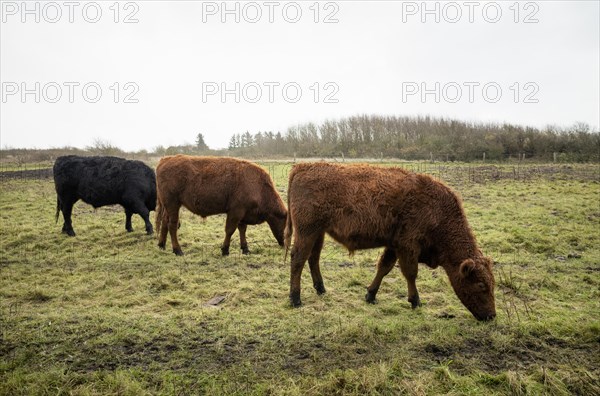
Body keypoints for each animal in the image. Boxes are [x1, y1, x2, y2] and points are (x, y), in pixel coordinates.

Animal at [155, 155, 286, 256]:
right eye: (286, 224)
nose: (285, 244)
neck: (259, 186)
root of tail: (165, 159)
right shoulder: (235, 212)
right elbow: (230, 230)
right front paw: (225, 250)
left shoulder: (242, 214)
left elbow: (242, 230)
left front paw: (245, 249)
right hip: (173, 204)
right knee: (172, 225)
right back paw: (178, 250)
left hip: (168, 207)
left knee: (164, 222)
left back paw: (161, 245)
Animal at [286, 162, 496, 320]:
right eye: (481, 285)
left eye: (492, 284)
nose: (491, 316)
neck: (437, 212)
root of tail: (302, 167)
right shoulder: (408, 246)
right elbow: (410, 273)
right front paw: (416, 301)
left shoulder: (394, 246)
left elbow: (384, 267)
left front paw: (370, 295)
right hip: (306, 232)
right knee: (298, 259)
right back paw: (295, 299)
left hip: (318, 233)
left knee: (313, 258)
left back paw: (321, 289)